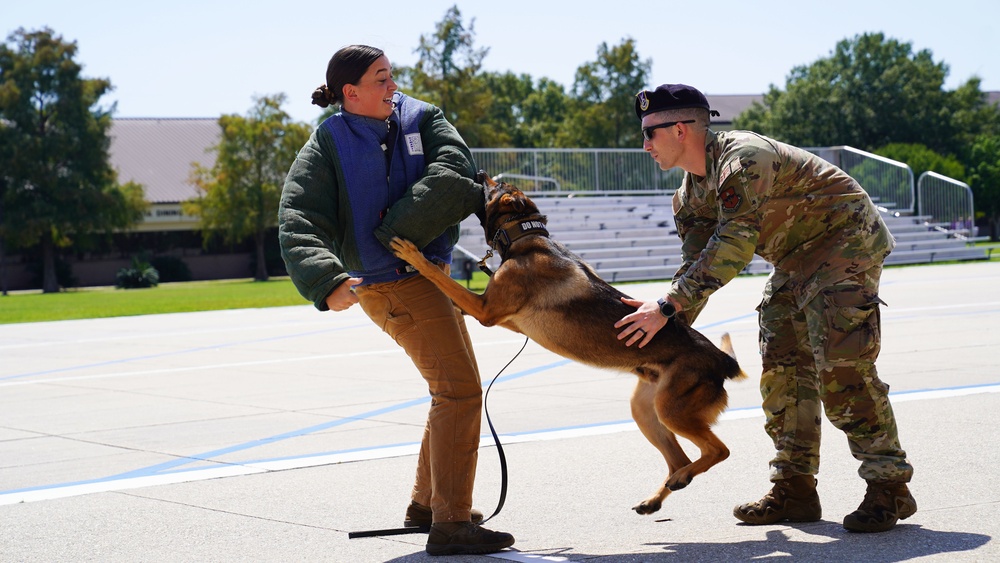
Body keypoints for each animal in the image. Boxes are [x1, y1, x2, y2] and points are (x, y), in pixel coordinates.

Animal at [388, 172, 744, 516]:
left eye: (497, 186)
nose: (481, 170)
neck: (526, 237)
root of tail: (722, 359)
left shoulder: (485, 310)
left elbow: (441, 278)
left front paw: (413, 255)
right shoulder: (503, 318)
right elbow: (452, 292)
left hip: (671, 409)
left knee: (720, 450)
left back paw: (682, 478)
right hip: (648, 408)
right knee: (681, 459)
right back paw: (659, 495)